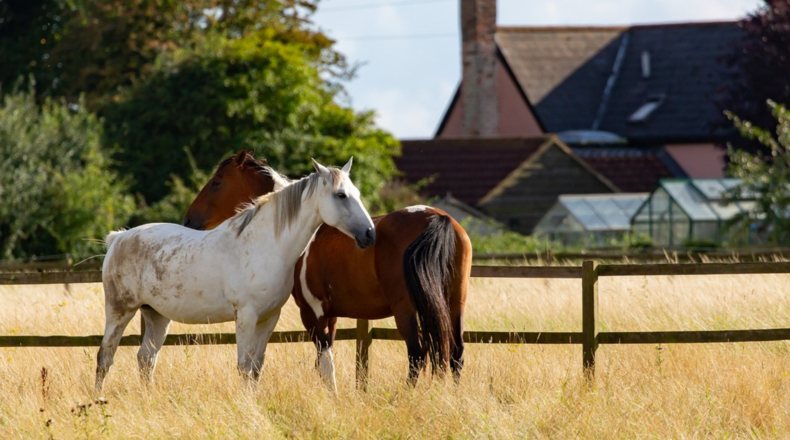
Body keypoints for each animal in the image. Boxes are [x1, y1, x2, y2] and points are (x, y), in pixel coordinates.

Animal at [96, 158, 375, 391]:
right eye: (341, 195)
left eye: (357, 194)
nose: (369, 234)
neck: (265, 245)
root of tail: (118, 238)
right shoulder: (246, 316)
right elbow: (243, 366)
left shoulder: (269, 318)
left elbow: (256, 367)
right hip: (119, 311)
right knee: (105, 356)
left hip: (156, 316)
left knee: (146, 358)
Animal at [184, 152, 472, 391]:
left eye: (217, 182)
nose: (190, 220)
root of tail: (438, 218)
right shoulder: (330, 314)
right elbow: (324, 362)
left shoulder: (312, 313)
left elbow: (324, 361)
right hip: (454, 303)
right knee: (455, 353)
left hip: (407, 309)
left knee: (417, 353)